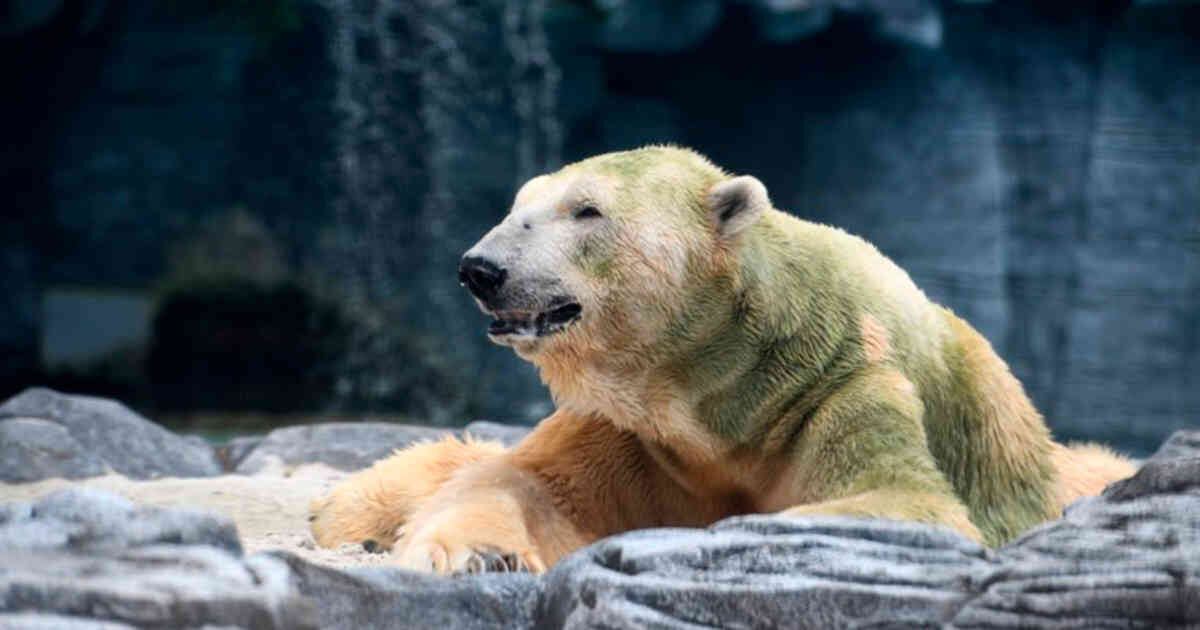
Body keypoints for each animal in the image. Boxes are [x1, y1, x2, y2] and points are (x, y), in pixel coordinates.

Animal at [309, 146, 1135, 573]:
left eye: (586, 210)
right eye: (517, 207)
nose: (482, 269)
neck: (728, 393)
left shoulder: (848, 390)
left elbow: (905, 500)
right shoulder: (634, 428)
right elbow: (526, 484)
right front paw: (481, 555)